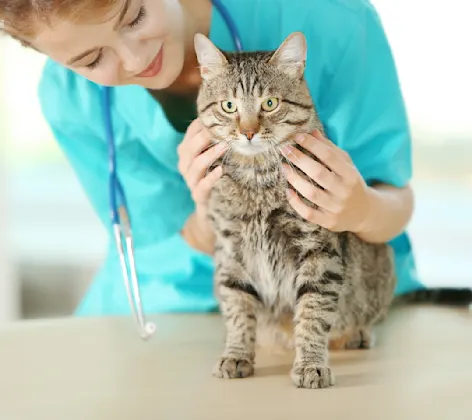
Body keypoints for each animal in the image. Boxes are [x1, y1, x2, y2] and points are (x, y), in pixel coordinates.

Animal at [194, 31, 396, 388]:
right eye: (229, 106)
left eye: (270, 103)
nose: (248, 132)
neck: (257, 178)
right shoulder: (231, 252)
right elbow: (237, 308)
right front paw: (237, 354)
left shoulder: (317, 252)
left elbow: (312, 314)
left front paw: (311, 364)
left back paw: (357, 333)